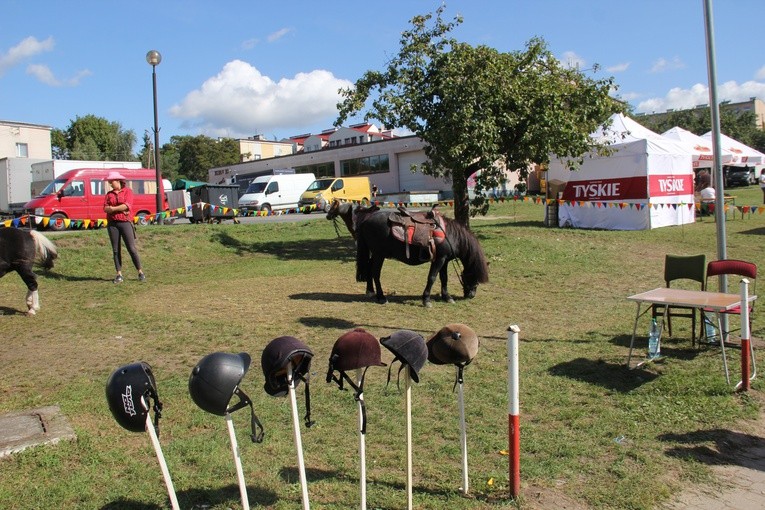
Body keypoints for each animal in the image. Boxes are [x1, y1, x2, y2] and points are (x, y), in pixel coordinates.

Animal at [336, 201, 490, 306]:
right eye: (476, 276)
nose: (471, 295)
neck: (450, 234)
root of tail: (366, 220)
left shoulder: (444, 260)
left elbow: (444, 278)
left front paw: (447, 297)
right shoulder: (439, 259)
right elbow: (432, 278)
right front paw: (426, 299)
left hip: (374, 254)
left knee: (368, 269)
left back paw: (370, 291)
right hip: (379, 255)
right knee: (375, 273)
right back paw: (381, 297)